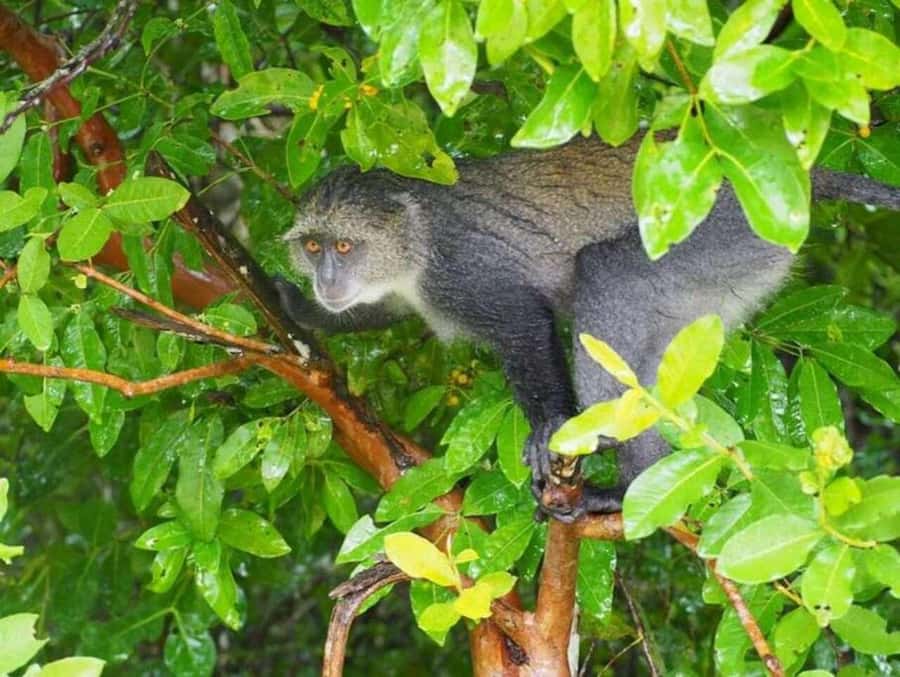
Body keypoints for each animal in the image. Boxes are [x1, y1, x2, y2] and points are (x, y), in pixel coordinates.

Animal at [274, 133, 900, 520]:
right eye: (314, 247)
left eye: (345, 247)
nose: (327, 278)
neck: (413, 239)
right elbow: (375, 312)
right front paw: (297, 306)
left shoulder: (460, 272)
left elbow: (524, 322)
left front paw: (549, 423)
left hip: (725, 235)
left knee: (607, 273)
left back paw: (603, 451)